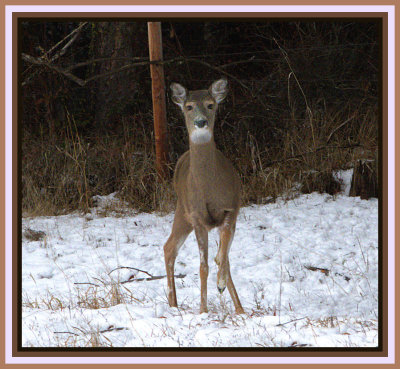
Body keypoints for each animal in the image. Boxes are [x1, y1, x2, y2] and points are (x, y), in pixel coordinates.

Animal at [163, 78, 244, 314]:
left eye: (210, 104)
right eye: (189, 106)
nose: (201, 122)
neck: (209, 188)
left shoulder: (231, 209)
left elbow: (222, 256)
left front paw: (221, 284)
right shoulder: (197, 217)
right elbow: (203, 266)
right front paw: (203, 310)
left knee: (172, 247)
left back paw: (239, 308)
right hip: (182, 209)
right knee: (169, 248)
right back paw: (173, 303)